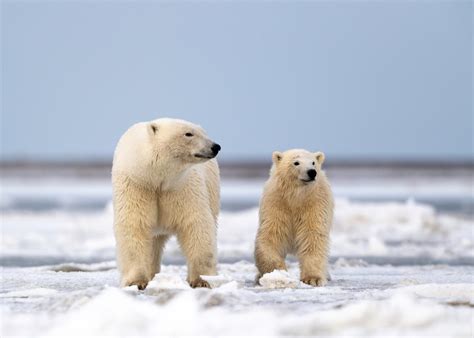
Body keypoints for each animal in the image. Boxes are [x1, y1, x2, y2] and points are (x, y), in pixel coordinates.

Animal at [112, 117, 221, 290]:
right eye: (188, 133)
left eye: (204, 133)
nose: (215, 146)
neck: (156, 179)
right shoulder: (136, 185)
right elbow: (135, 226)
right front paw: (136, 281)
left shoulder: (182, 187)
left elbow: (196, 225)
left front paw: (202, 280)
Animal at [256, 149, 334, 286]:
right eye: (296, 162)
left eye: (313, 162)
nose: (312, 172)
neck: (296, 198)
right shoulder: (277, 204)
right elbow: (271, 237)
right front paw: (278, 273)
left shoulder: (315, 204)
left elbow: (312, 237)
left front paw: (313, 279)